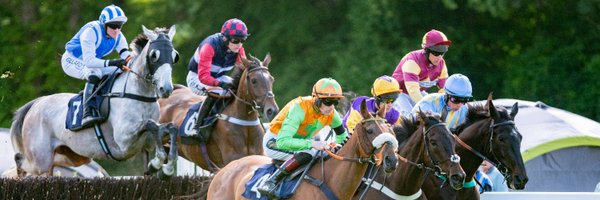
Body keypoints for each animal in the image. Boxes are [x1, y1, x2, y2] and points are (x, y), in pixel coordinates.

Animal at [9, 25, 178, 177]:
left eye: (175, 56)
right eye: (154, 55)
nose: (166, 89)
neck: (138, 94)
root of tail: (36, 103)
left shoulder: (146, 142)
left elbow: (167, 128)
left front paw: (164, 166)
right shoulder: (124, 141)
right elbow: (151, 125)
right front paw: (157, 164)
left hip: (72, 155)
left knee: (48, 164)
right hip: (40, 159)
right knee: (20, 160)